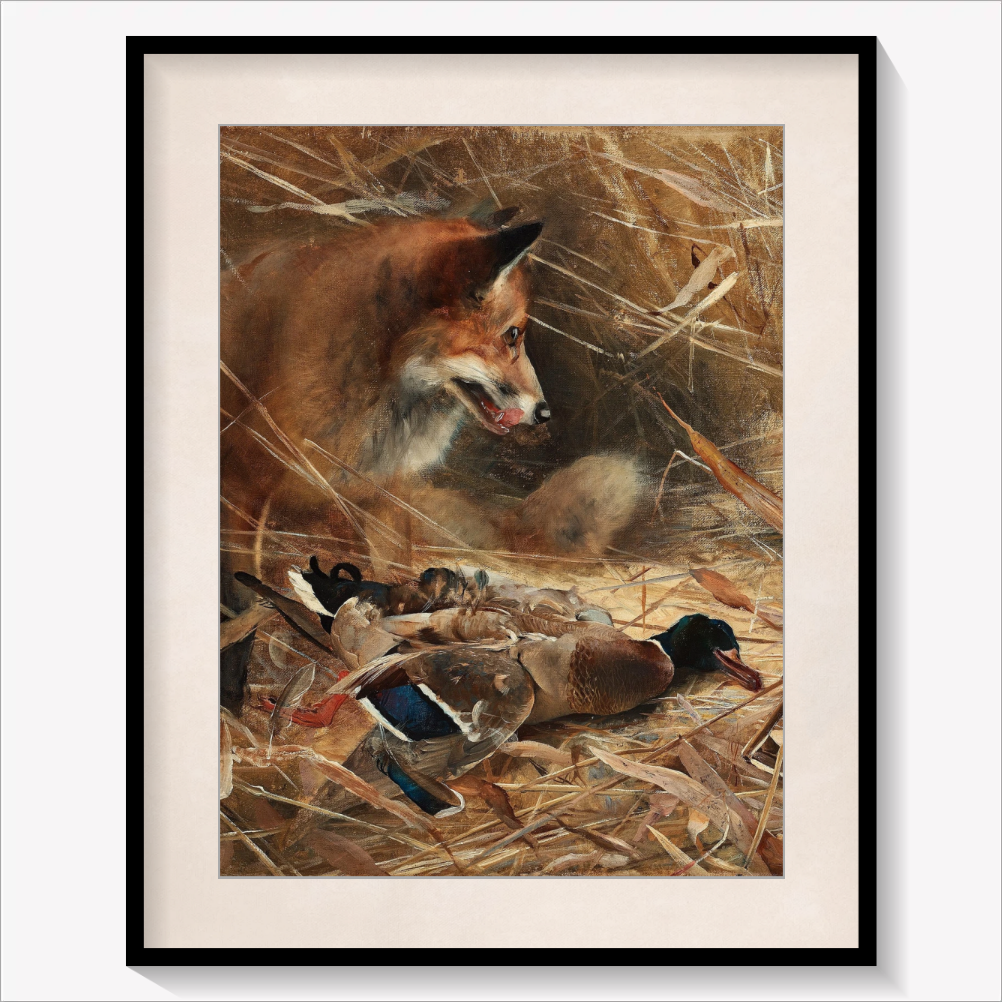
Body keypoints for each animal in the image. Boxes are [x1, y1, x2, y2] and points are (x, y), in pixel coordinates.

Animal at [220, 209, 641, 597]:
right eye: (513, 334)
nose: (545, 412)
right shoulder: (244, 483)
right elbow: (246, 578)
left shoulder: (385, 492)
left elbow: (392, 565)